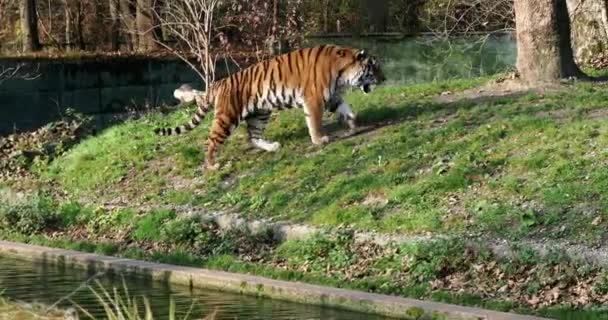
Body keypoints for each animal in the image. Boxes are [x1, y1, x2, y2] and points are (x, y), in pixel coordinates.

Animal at [156, 45, 384, 171]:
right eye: (373, 68)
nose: (384, 79)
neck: (342, 73)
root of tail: (219, 83)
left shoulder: (333, 96)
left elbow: (347, 109)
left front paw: (352, 125)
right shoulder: (314, 99)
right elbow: (315, 121)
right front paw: (320, 140)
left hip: (260, 113)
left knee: (253, 137)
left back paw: (272, 147)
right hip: (227, 117)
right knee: (212, 141)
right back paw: (212, 165)